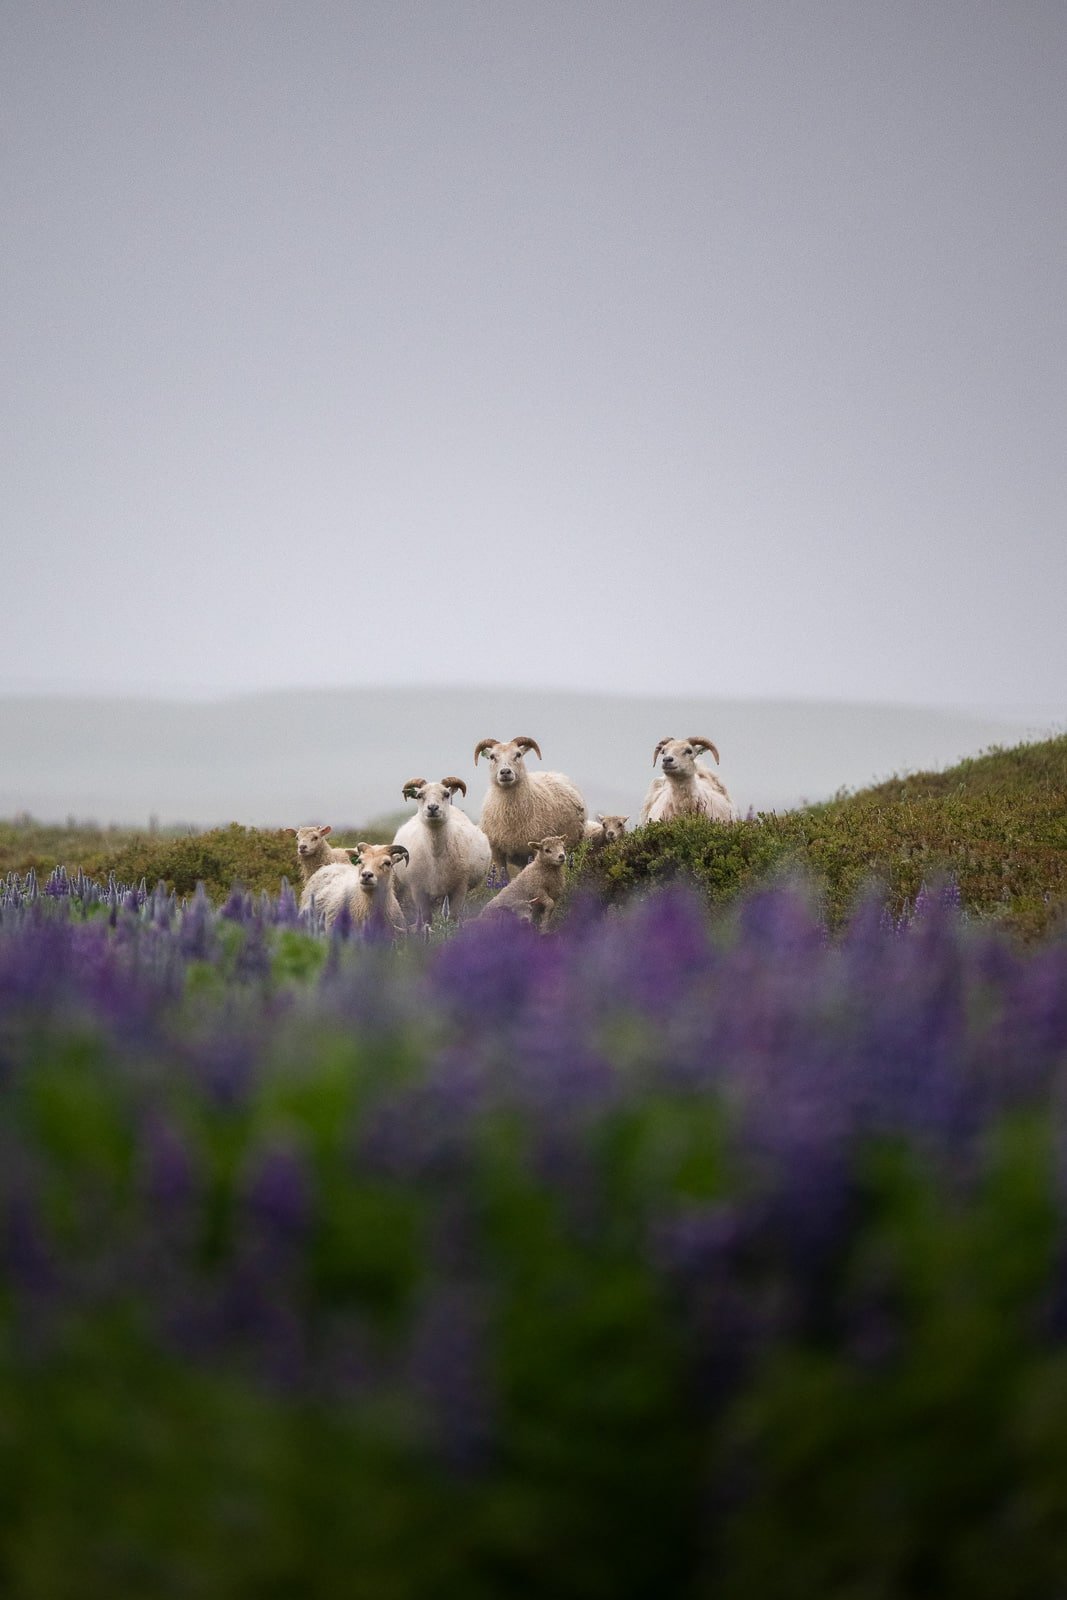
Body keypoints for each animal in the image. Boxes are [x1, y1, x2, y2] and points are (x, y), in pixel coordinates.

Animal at [391, 775, 491, 926]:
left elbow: (453, 917)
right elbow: (426, 917)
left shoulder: (460, 888)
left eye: (446, 794)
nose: (432, 808)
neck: (435, 853)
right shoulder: (418, 890)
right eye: (419, 795)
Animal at [473, 736, 586, 879]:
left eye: (518, 754)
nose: (505, 772)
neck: (510, 816)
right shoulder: (497, 853)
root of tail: (555, 773)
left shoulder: (535, 848)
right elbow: (503, 878)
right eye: (492, 756)